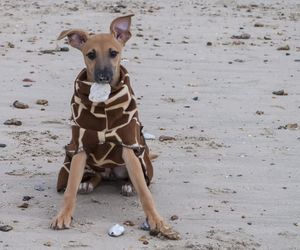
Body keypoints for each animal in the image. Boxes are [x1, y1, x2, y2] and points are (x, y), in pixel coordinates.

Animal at [50, 14, 179, 240]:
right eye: (91, 54)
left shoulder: (128, 145)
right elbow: (69, 189)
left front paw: (156, 221)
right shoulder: (80, 146)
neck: (103, 104)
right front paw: (63, 215)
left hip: (136, 159)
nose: (104, 77)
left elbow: (145, 192)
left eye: (113, 53)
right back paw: (88, 183)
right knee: (96, 176)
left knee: (135, 180)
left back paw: (127, 186)